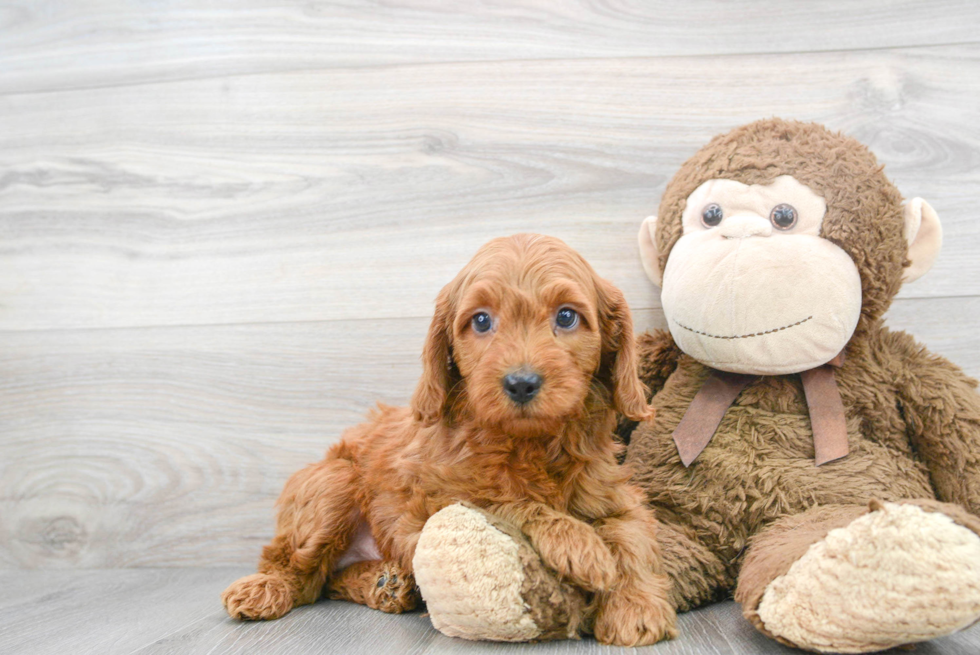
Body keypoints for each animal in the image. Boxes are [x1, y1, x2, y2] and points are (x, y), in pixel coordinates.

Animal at [222, 234, 676, 644]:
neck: (529, 443)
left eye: (566, 317)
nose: (522, 383)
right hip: (332, 484)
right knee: (297, 572)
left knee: (328, 581)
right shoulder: (427, 505)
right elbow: (507, 502)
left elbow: (631, 534)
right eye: (481, 321)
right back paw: (265, 589)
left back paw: (387, 584)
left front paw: (635, 608)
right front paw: (582, 547)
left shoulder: (612, 491)